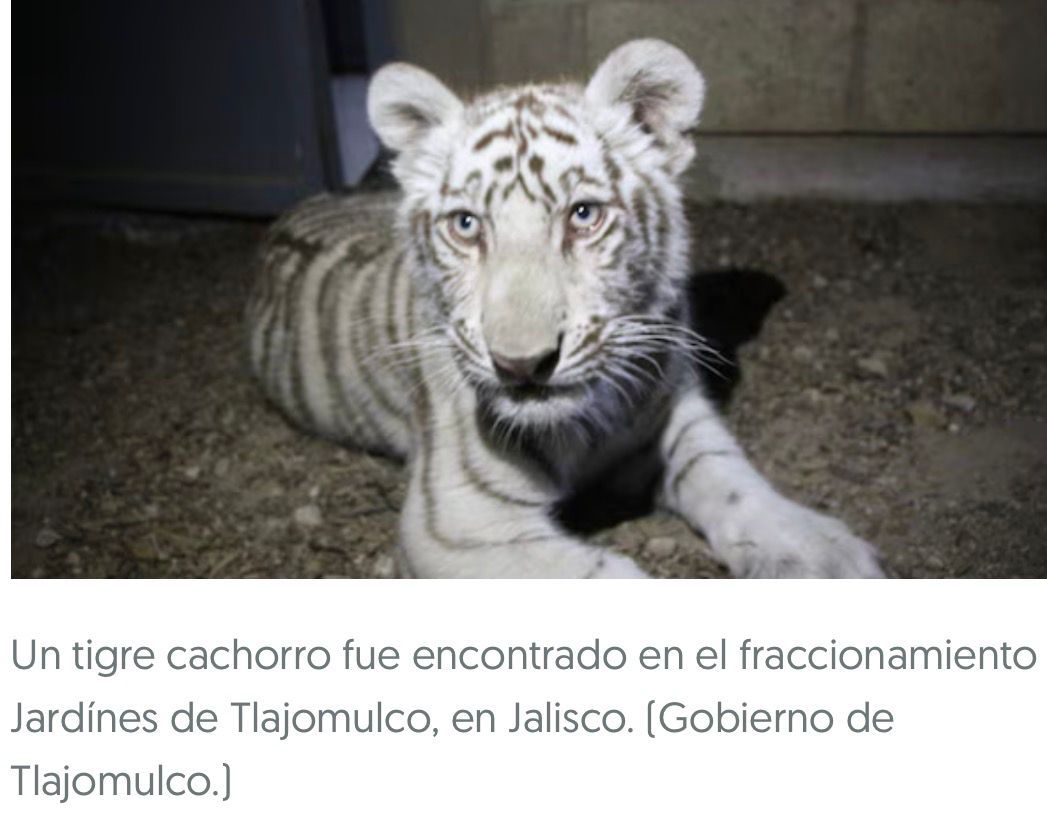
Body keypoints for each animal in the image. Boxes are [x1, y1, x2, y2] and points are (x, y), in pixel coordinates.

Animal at [246, 39, 884, 578]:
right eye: (466, 225)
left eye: (584, 215)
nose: (521, 365)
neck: (587, 424)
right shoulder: (461, 524)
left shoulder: (678, 418)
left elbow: (735, 482)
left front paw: (819, 553)